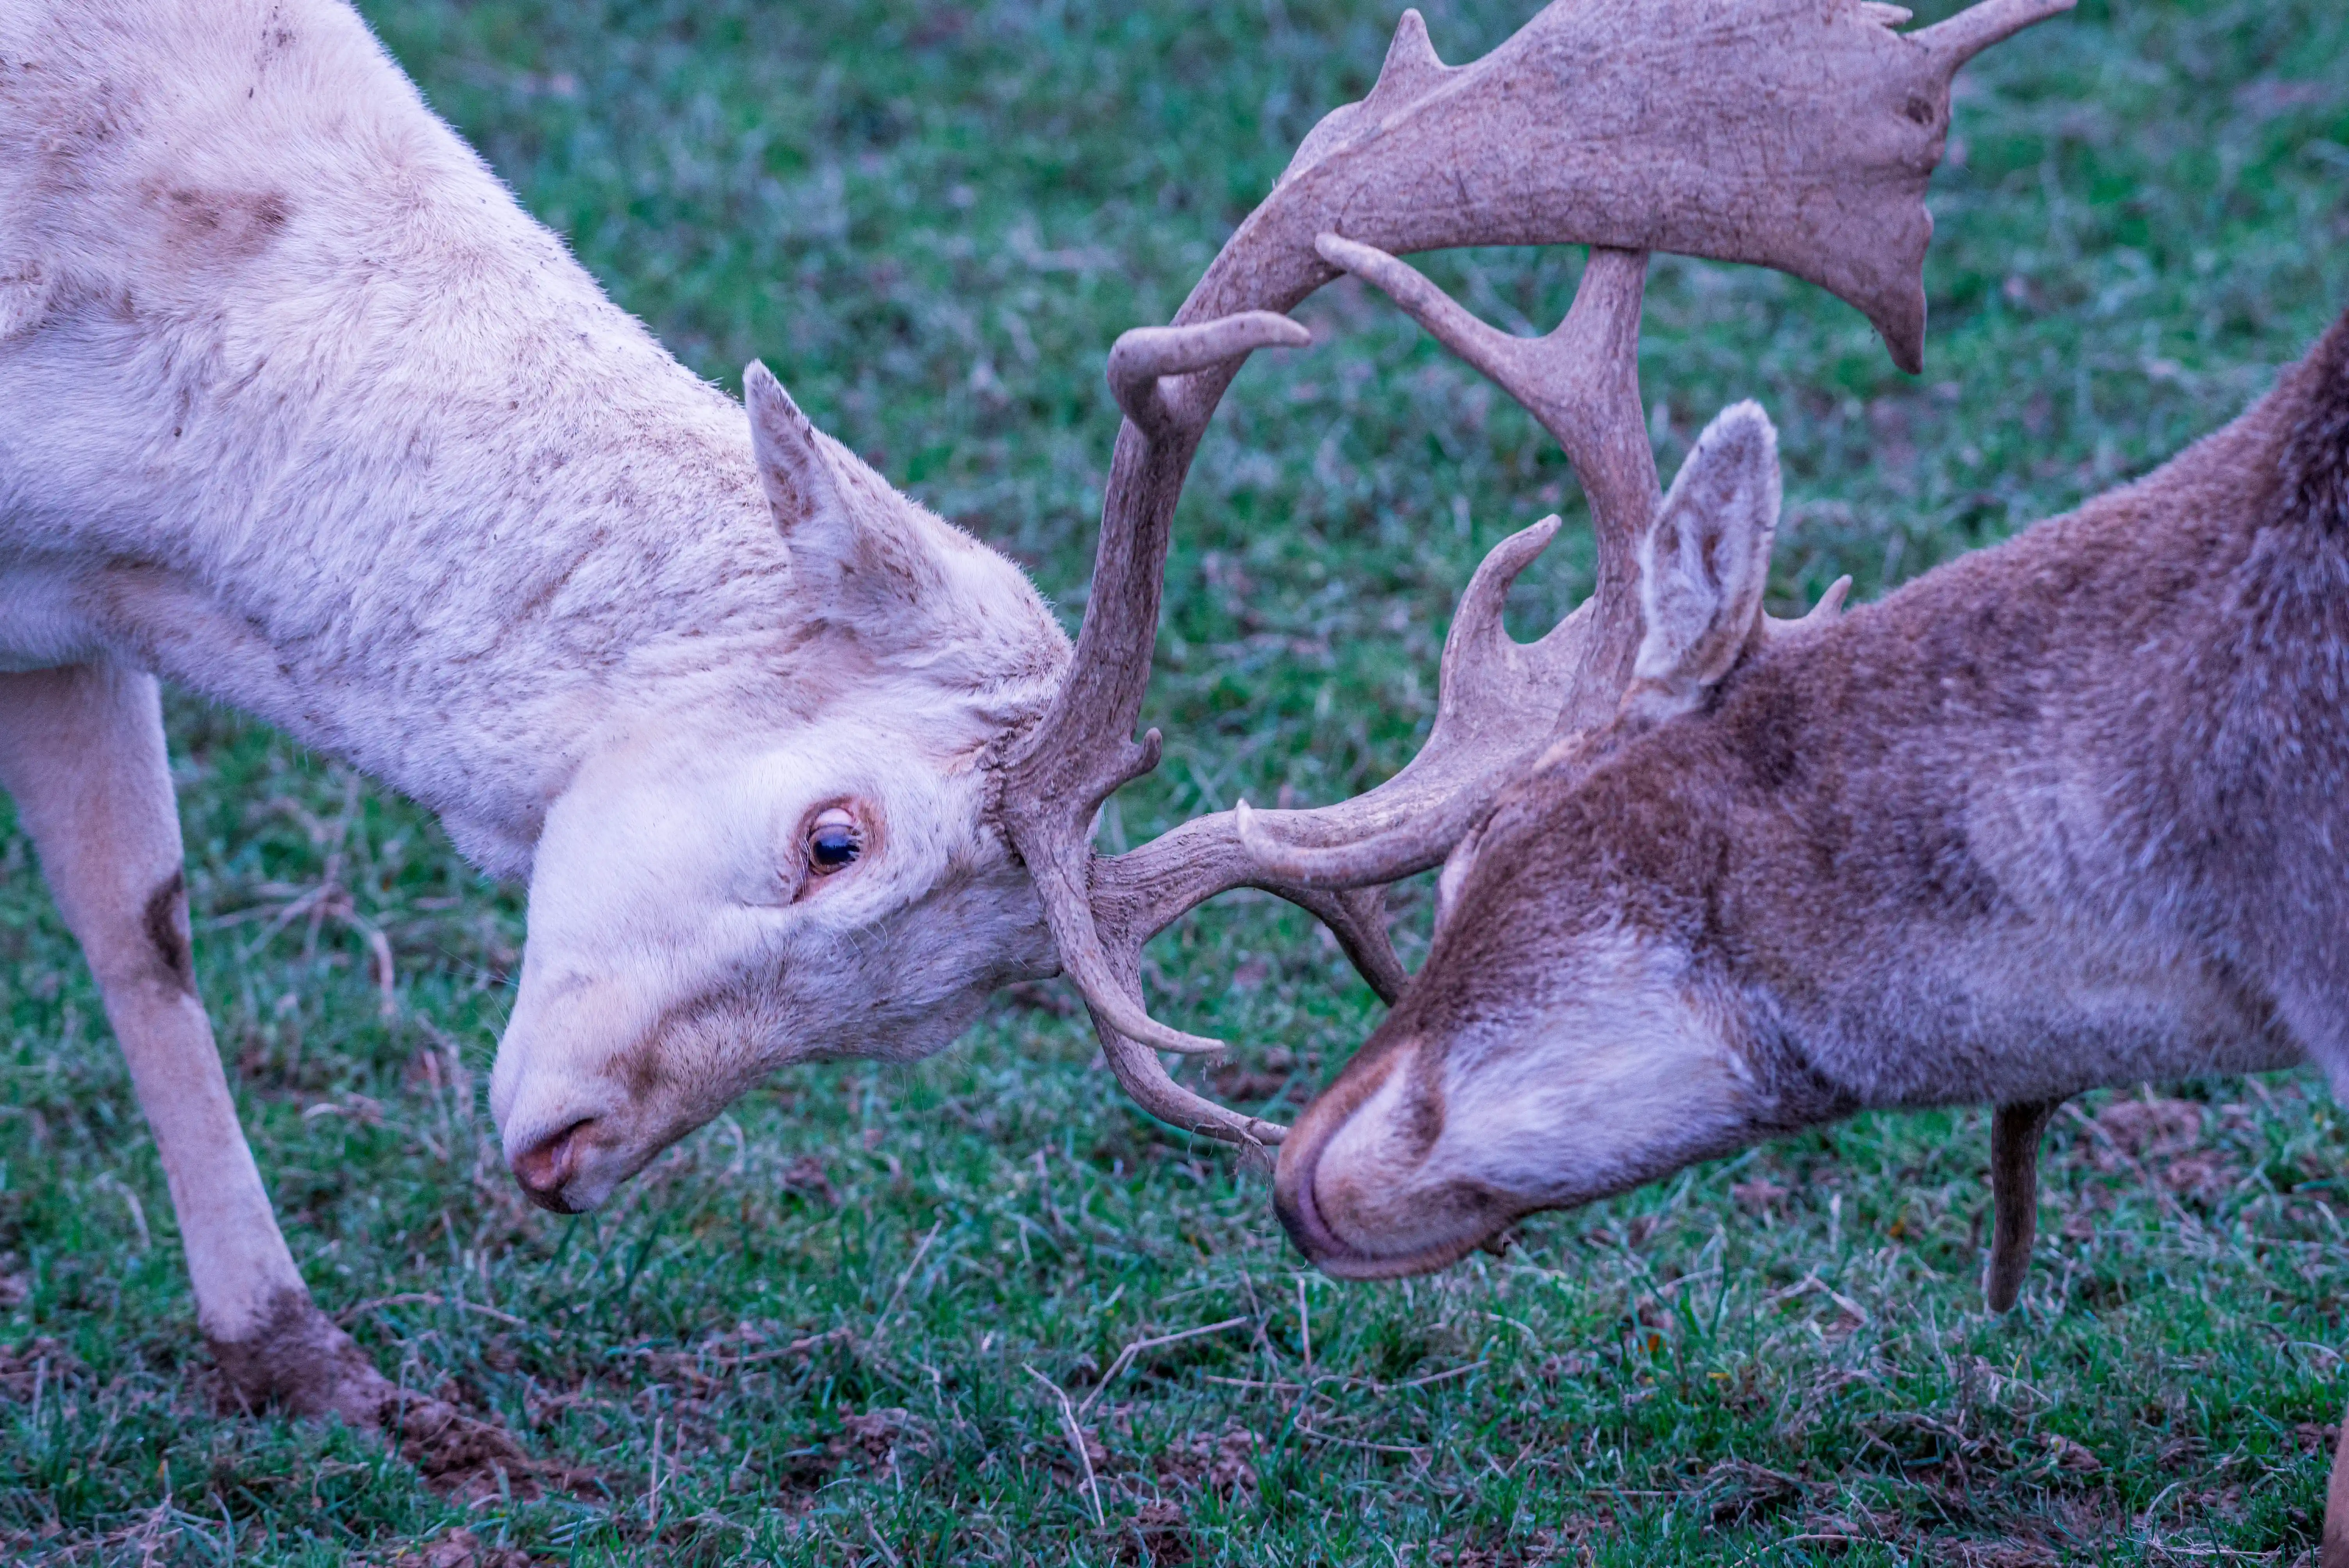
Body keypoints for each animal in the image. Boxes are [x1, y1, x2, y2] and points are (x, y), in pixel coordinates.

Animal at [0, 0, 2058, 1442]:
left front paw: (305, 1362)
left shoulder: (53, 613)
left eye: (931, 1018)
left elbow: (143, 915)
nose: (565, 1148)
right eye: (830, 830)